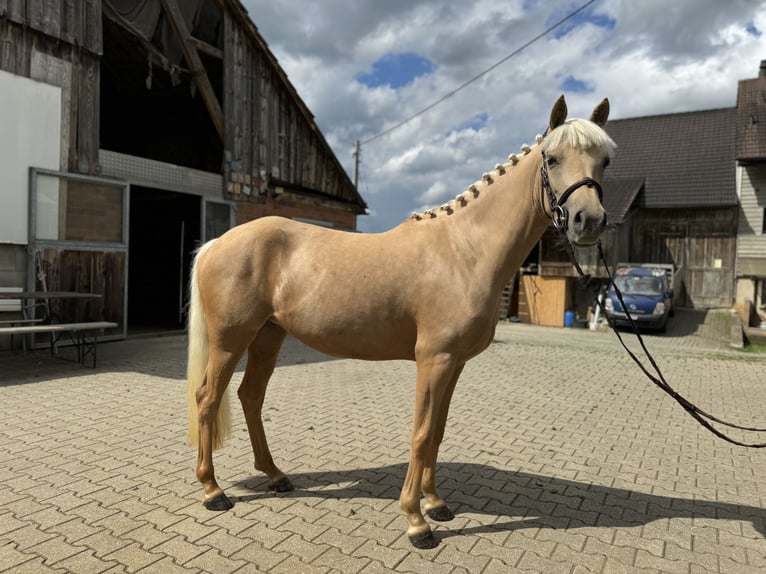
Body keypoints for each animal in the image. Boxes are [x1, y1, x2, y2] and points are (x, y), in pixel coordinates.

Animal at [188, 97, 616, 552]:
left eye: (605, 160)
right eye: (552, 158)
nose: (589, 221)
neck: (465, 250)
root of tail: (218, 242)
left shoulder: (454, 363)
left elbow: (438, 432)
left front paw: (436, 504)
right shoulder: (434, 360)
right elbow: (422, 432)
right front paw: (416, 521)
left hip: (268, 336)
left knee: (250, 397)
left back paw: (275, 476)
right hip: (230, 340)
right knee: (208, 399)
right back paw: (213, 491)